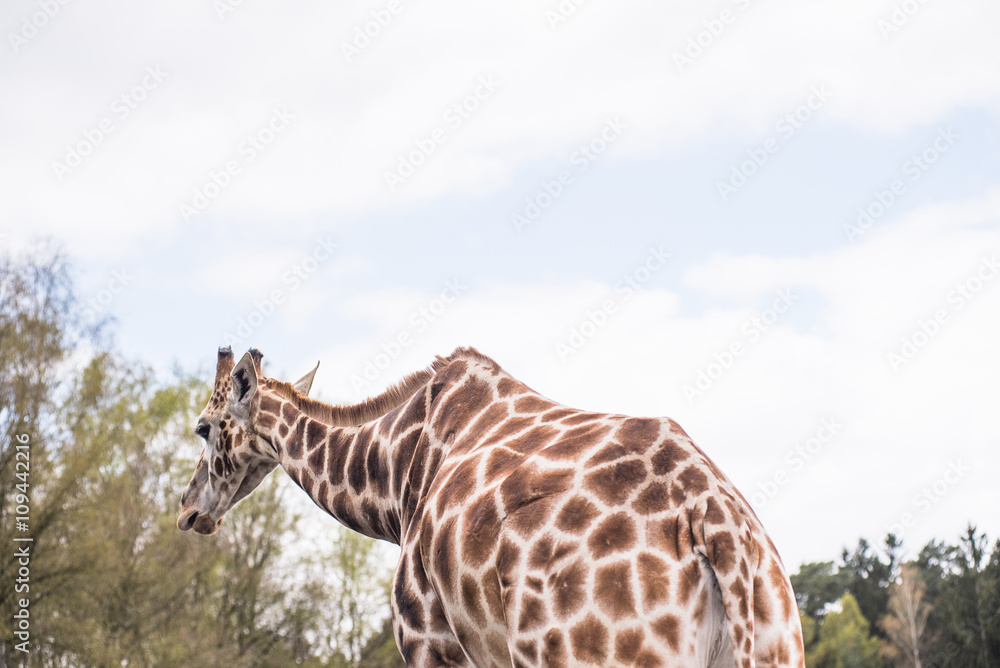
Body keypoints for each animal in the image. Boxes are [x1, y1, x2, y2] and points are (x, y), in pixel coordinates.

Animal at [177, 346, 805, 668]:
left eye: (203, 427)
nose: (186, 511)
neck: (395, 474)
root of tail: (717, 525)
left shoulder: (428, 640)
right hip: (774, 644)